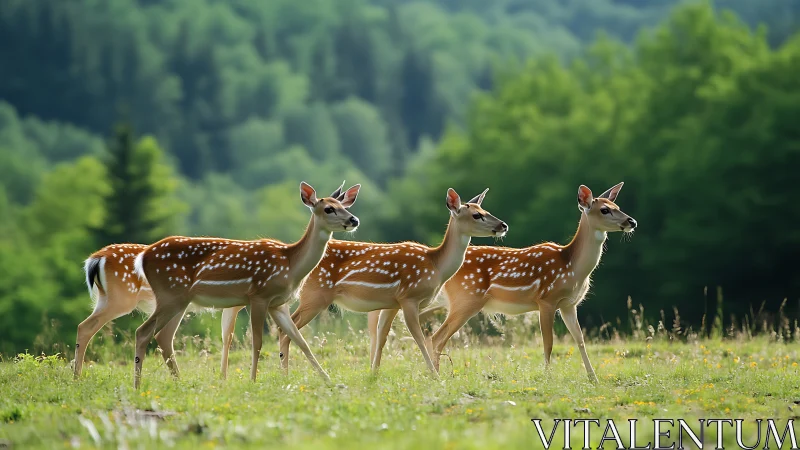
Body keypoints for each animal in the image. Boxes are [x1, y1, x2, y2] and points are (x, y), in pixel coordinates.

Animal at [130, 181, 361, 389]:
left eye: (345, 207)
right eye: (329, 208)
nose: (354, 220)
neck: (290, 265)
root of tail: (143, 256)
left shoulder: (278, 304)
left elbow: (300, 341)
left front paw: (329, 380)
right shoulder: (259, 295)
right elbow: (257, 342)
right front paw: (253, 380)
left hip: (179, 300)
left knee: (163, 336)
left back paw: (179, 382)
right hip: (170, 294)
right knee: (143, 332)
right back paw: (138, 386)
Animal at [271, 188, 508, 377]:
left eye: (485, 210)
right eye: (477, 215)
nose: (503, 225)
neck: (436, 266)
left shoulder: (391, 303)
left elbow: (382, 338)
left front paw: (373, 375)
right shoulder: (409, 298)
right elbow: (419, 338)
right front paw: (435, 377)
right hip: (315, 294)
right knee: (287, 328)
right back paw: (287, 374)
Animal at [416, 183, 636, 382]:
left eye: (616, 206)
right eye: (605, 210)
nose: (631, 221)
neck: (572, 268)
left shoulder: (569, 304)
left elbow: (580, 339)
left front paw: (593, 378)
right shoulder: (546, 299)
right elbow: (548, 342)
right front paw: (548, 377)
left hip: (445, 300)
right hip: (466, 298)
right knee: (437, 337)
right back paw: (436, 375)